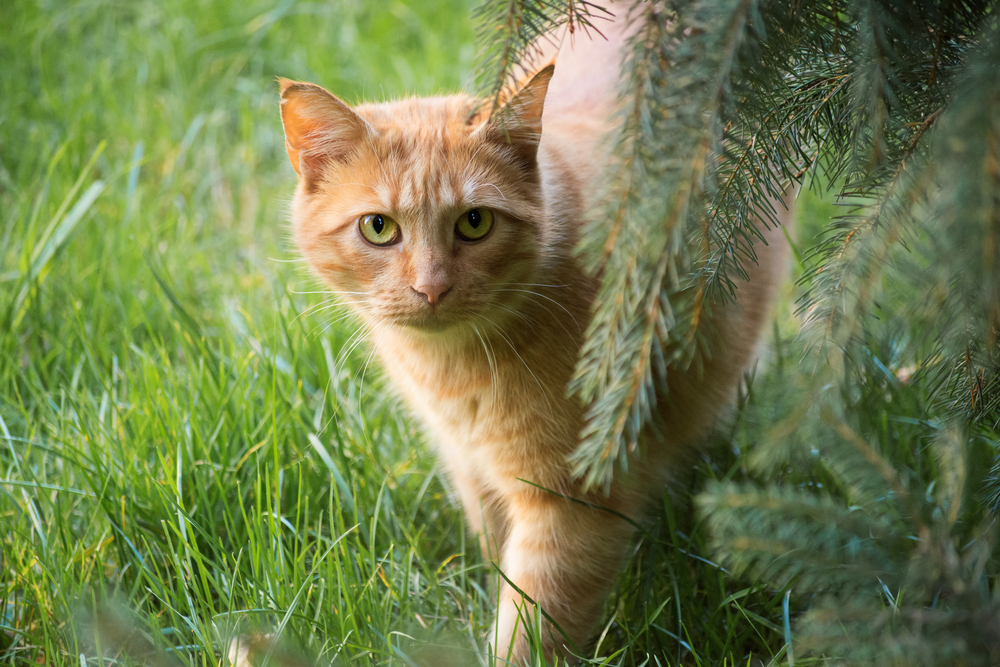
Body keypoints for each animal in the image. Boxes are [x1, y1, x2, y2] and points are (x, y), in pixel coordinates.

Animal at [276, 11, 788, 667]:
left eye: (474, 222)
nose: (431, 287)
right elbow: (499, 560)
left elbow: (533, 623)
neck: (456, 373)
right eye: (378, 227)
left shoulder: (574, 499)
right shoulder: (471, 469)